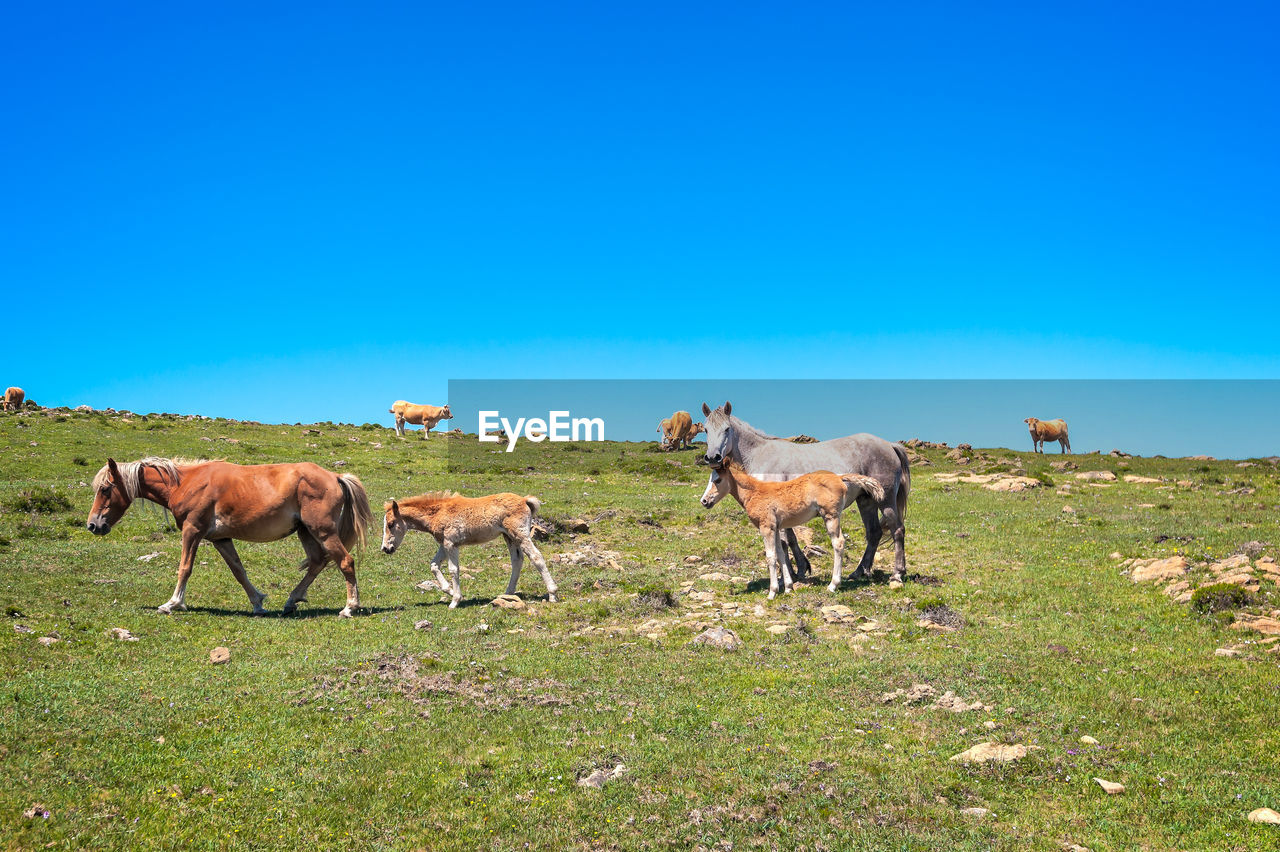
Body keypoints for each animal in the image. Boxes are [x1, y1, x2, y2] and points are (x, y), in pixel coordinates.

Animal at [86, 457, 371, 616]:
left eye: (105, 489)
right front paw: (258, 604)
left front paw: (173, 603)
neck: (185, 483)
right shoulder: (220, 539)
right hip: (305, 531)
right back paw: (291, 601)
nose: (92, 525)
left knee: (345, 562)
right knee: (317, 562)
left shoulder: (192, 530)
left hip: (322, 531)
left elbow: (185, 568)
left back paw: (350, 607)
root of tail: (335, 476)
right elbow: (238, 571)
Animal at [381, 491, 558, 603]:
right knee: (517, 560)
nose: (385, 548)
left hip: (520, 534)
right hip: (509, 537)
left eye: (390, 524)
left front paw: (455, 600)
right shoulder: (444, 544)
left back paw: (552, 594)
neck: (438, 512)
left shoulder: (451, 543)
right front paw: (449, 590)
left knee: (536, 557)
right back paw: (507, 593)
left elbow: (453, 569)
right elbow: (434, 565)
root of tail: (524, 500)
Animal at [701, 401, 911, 580]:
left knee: (897, 529)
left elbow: (783, 542)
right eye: (706, 430)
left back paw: (897, 574)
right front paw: (800, 569)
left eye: (727, 429)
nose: (712, 457)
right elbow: (790, 539)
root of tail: (889, 445)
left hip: (885, 500)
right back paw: (859, 572)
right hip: (866, 500)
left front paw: (790, 576)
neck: (760, 455)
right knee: (874, 533)